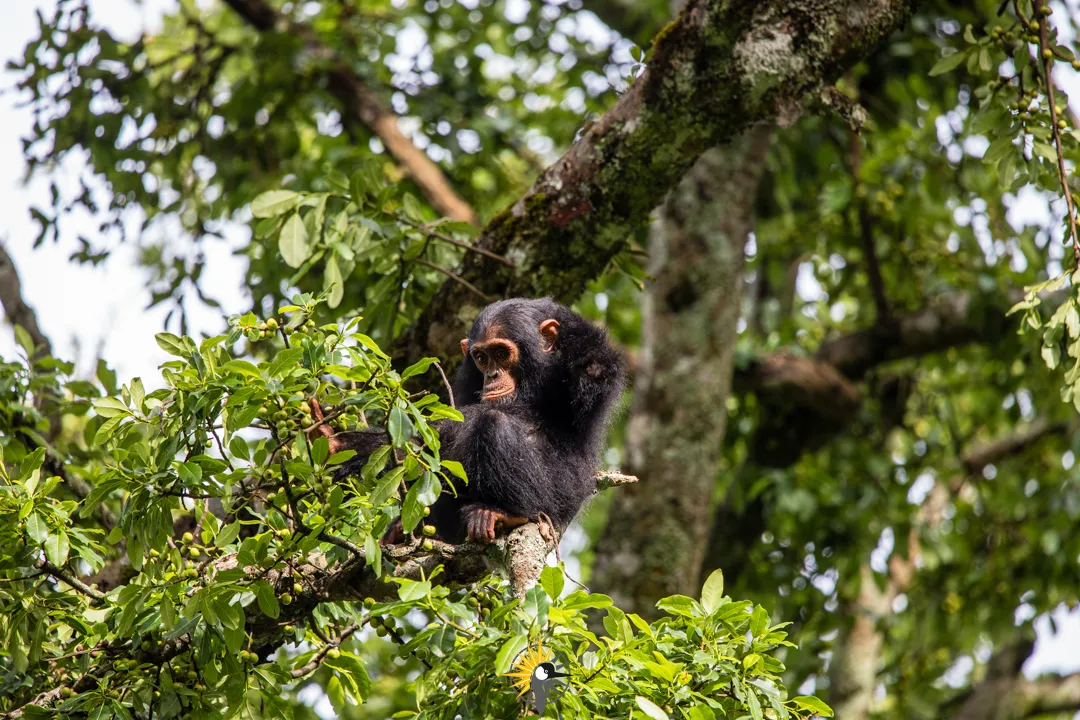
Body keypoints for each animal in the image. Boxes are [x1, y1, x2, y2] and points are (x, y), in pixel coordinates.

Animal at [315, 295, 626, 544]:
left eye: (501, 353)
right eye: (481, 357)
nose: (492, 375)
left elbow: (593, 366)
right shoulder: (468, 377)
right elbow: (440, 431)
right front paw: (345, 445)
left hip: (555, 503)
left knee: (494, 424)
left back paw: (507, 514)